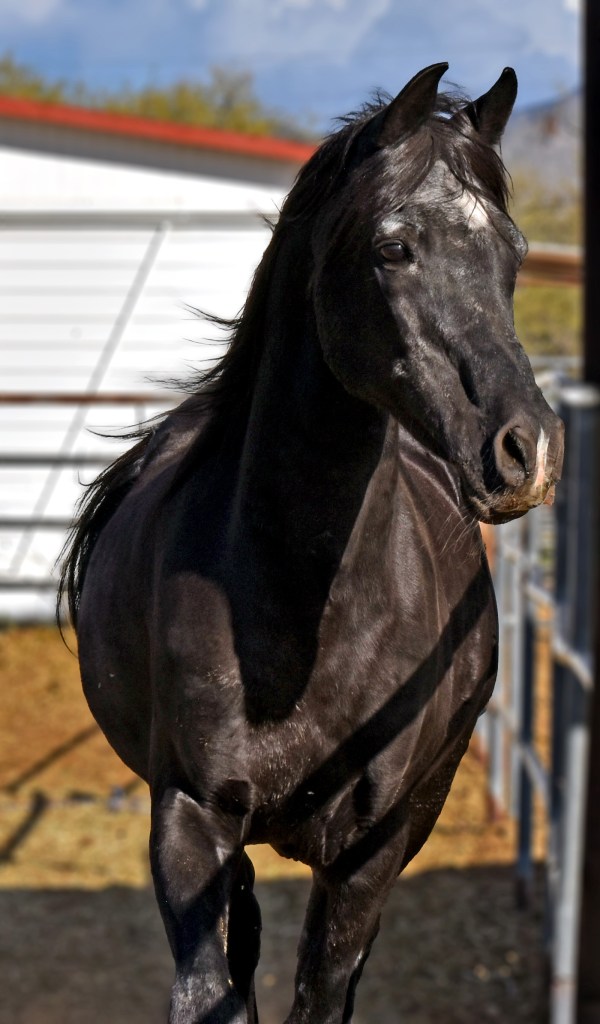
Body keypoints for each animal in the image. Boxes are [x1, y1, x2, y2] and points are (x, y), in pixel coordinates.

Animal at [59, 63, 564, 1024]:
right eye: (395, 247)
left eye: (516, 254)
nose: (529, 449)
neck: (304, 617)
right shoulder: (189, 820)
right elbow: (213, 992)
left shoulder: (370, 854)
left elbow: (322, 994)